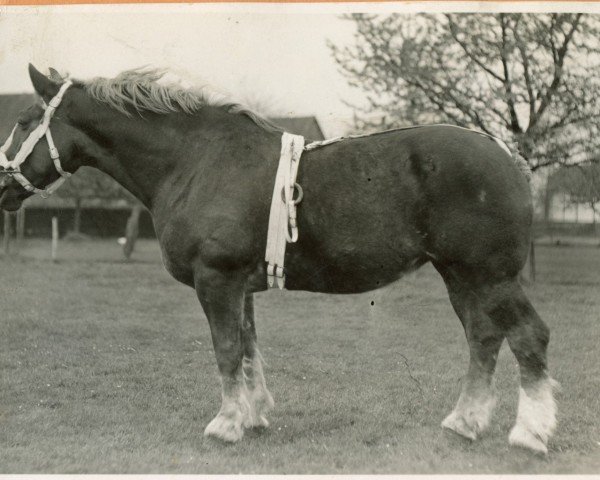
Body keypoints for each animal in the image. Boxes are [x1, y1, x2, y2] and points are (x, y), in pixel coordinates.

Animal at [0, 65, 556, 456]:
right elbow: (248, 348)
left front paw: (226, 425)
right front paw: (253, 416)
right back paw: (465, 422)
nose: (2, 184)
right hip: (461, 277)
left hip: (491, 277)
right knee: (483, 338)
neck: (195, 161)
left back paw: (529, 434)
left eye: (23, 122)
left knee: (528, 337)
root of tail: (508, 157)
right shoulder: (239, 287)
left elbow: (226, 349)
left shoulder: (217, 280)